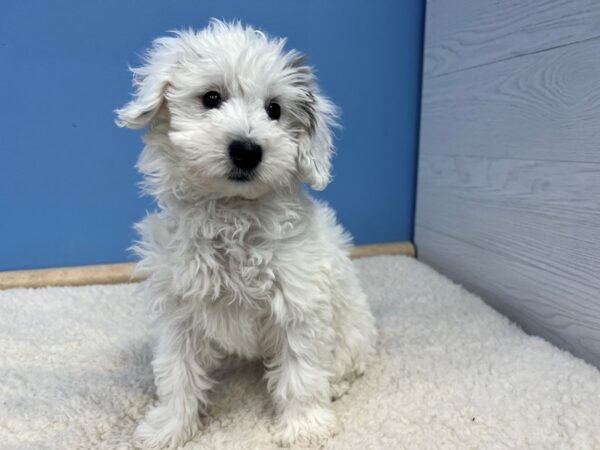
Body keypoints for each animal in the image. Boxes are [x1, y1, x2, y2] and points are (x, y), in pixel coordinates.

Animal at [116, 19, 376, 448]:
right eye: (211, 98)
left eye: (275, 110)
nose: (247, 150)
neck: (232, 212)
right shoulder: (178, 305)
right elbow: (177, 370)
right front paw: (169, 428)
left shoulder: (299, 302)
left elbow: (301, 372)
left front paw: (304, 428)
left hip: (351, 329)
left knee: (343, 362)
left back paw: (335, 385)